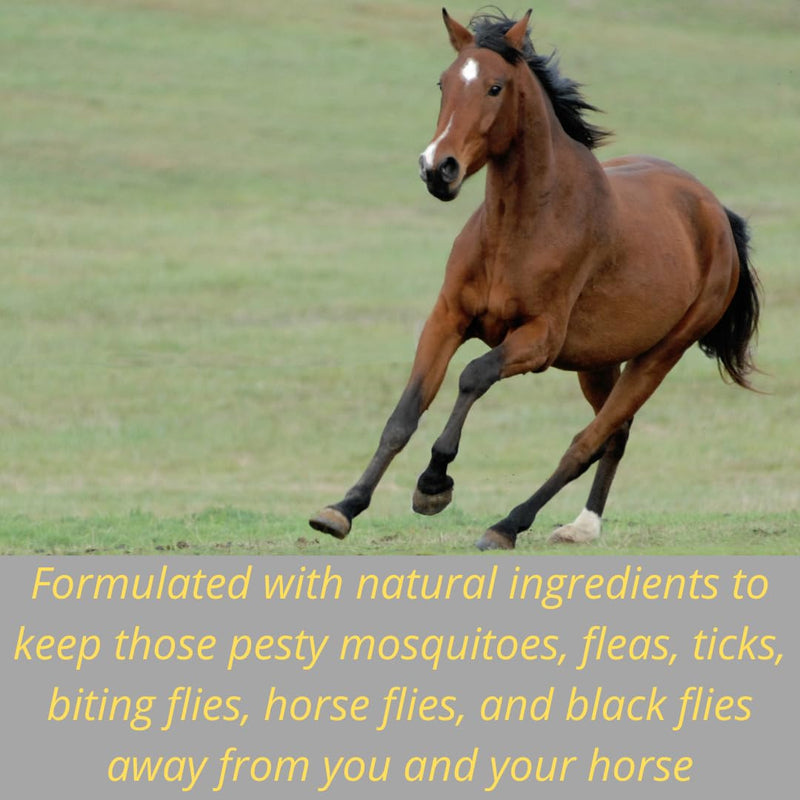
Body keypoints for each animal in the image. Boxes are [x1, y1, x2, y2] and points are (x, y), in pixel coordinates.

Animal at [309, 9, 760, 550]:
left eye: (495, 87)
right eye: (443, 83)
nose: (438, 169)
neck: (520, 229)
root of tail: (717, 213)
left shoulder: (539, 340)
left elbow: (473, 375)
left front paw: (434, 483)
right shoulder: (447, 319)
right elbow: (404, 415)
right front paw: (342, 508)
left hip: (659, 356)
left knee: (587, 442)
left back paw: (507, 525)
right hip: (599, 362)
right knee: (616, 433)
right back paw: (582, 526)